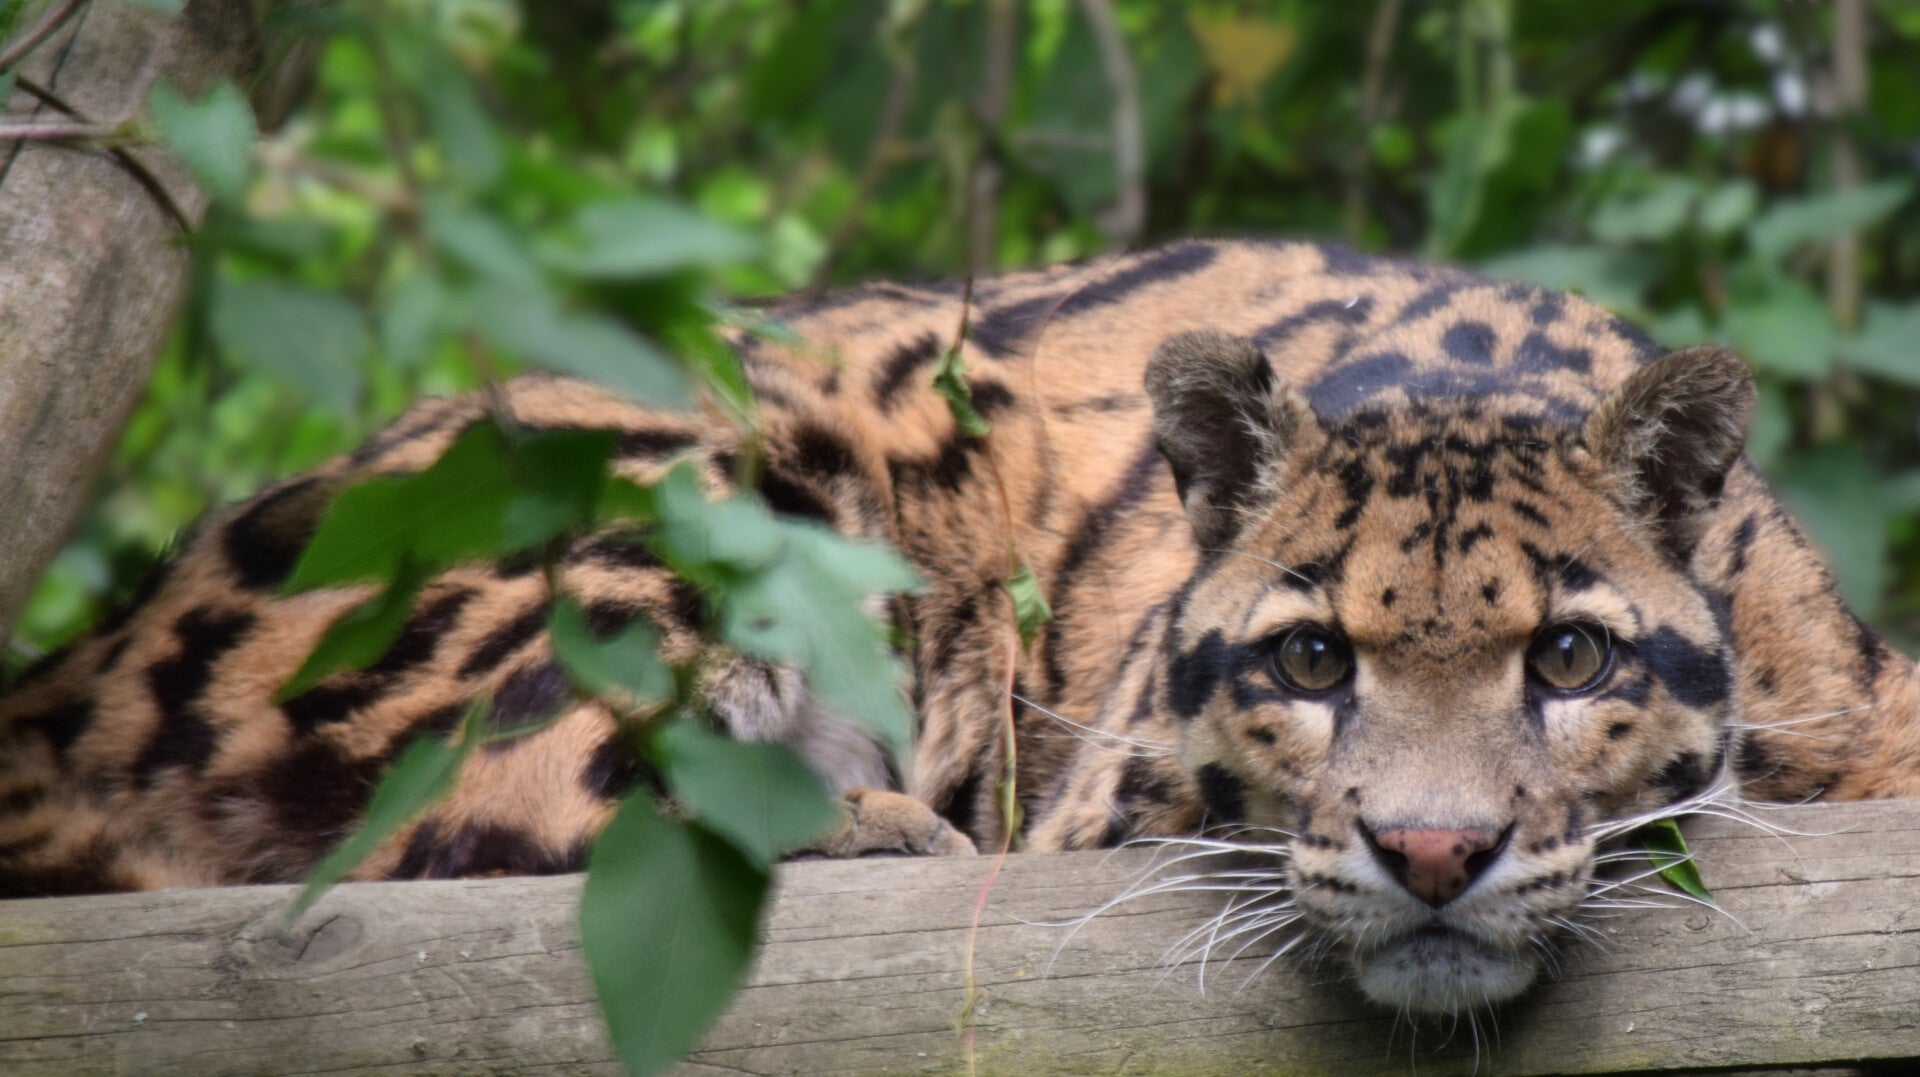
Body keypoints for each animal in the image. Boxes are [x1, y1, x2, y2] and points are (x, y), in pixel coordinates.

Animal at [3, 239, 1918, 1018]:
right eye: (1314, 661)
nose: (1434, 854)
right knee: (466, 822)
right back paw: (872, 831)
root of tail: (73, 666)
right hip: (673, 482)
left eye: (1568, 660)